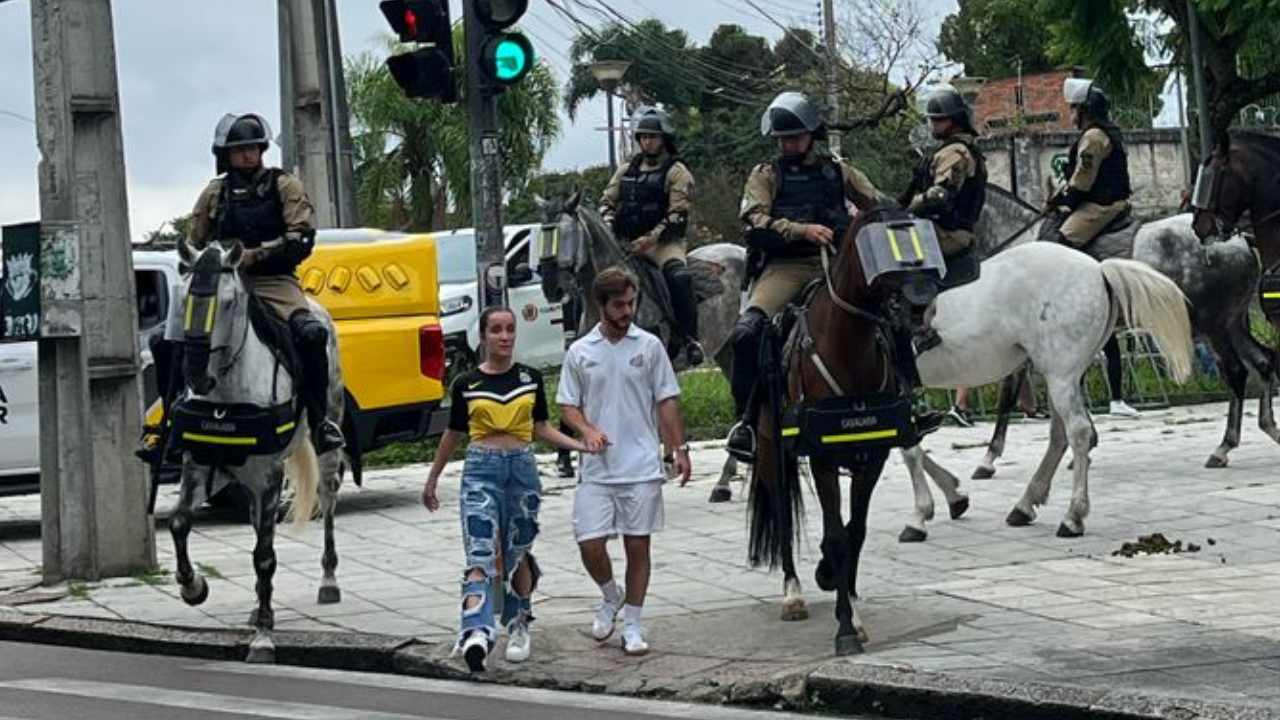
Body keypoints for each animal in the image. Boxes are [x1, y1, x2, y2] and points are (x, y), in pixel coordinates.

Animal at [172, 239, 350, 661]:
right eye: (186, 298)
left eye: (229, 302)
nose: (197, 376)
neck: (225, 395)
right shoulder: (200, 468)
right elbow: (180, 523)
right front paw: (193, 587)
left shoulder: (270, 475)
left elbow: (264, 556)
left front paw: (264, 636)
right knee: (255, 522)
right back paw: (255, 604)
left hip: (325, 447)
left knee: (327, 501)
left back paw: (328, 580)